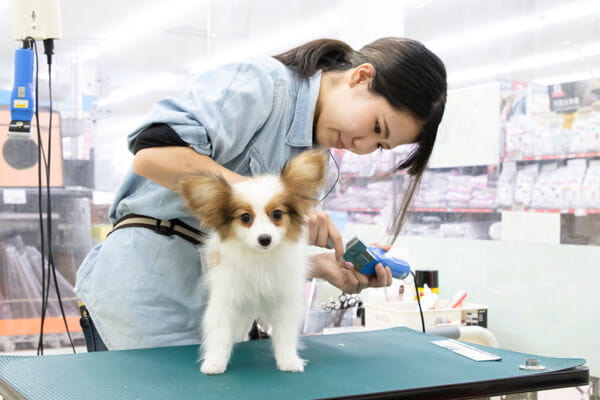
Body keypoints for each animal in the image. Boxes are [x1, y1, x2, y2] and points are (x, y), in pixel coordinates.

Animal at [178, 150, 328, 376]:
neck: (261, 258)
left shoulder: (285, 300)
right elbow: (220, 334)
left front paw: (288, 361)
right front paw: (215, 363)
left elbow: (284, 334)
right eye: (245, 217)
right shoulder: (226, 300)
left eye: (277, 214)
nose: (264, 239)